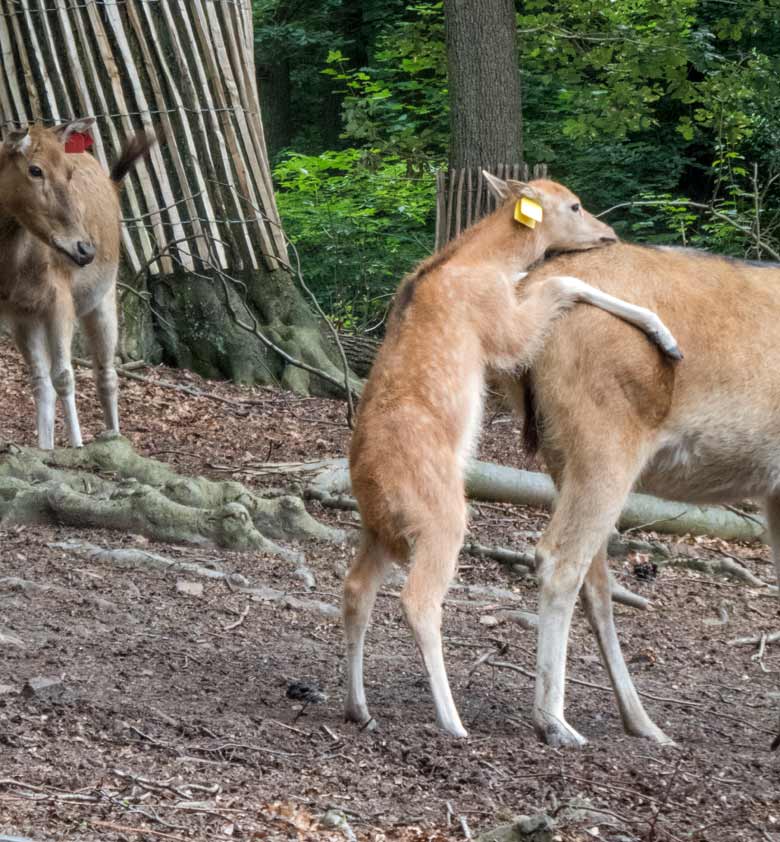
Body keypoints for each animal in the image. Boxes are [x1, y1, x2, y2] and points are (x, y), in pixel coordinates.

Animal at [0, 118, 154, 450]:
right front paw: (46, 449)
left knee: (106, 375)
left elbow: (65, 375)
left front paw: (78, 446)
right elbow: (42, 380)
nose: (84, 249)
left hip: (104, 297)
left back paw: (113, 436)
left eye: (69, 172)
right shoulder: (15, 312)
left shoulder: (60, 300)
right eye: (35, 169)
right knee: (41, 381)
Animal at [342, 176, 684, 736]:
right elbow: (562, 285)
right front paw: (667, 338)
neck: (483, 263)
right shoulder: (504, 329)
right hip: (440, 519)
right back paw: (453, 722)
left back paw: (359, 709)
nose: (608, 233)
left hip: (380, 530)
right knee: (417, 600)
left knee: (356, 589)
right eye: (574, 205)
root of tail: (369, 484)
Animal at [508, 243, 780, 748]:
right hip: (605, 438)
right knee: (560, 559)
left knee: (595, 580)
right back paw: (554, 722)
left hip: (560, 453)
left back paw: (644, 722)